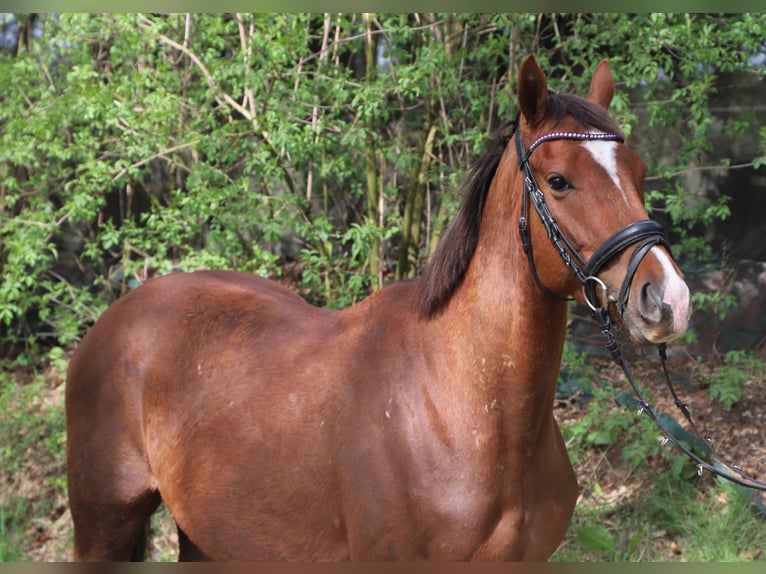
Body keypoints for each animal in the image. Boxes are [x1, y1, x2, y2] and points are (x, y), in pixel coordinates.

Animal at [65, 55, 691, 561]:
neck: (465, 411)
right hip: (104, 527)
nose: (669, 299)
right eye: (559, 181)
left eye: (638, 173)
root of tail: (115, 319)